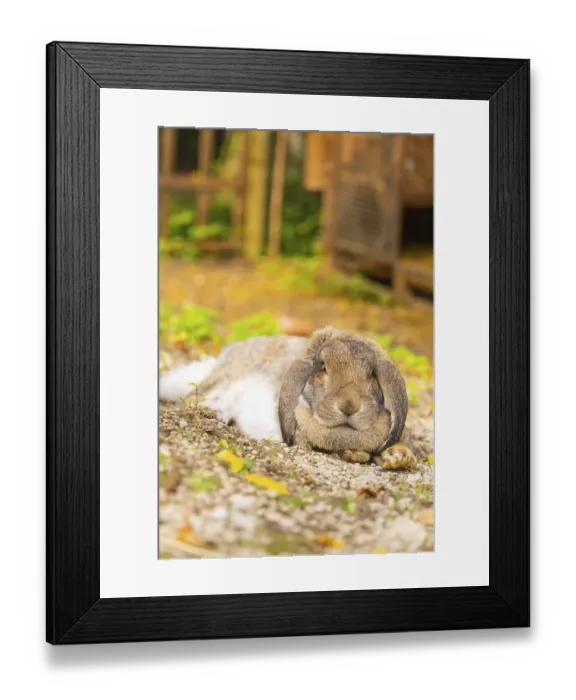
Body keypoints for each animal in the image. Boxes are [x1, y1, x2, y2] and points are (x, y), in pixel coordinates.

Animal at [159, 326, 417, 469]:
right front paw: (358, 455)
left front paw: (400, 458)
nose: (349, 406)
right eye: (323, 369)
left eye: (372, 375)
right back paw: (215, 415)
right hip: (225, 382)